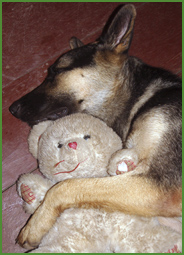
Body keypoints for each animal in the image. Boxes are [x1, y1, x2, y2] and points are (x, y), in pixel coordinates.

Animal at [10, 4, 181, 249]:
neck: (139, 95)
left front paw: (36, 223)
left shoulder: (161, 189)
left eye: (55, 72)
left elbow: (65, 187)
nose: (12, 109)